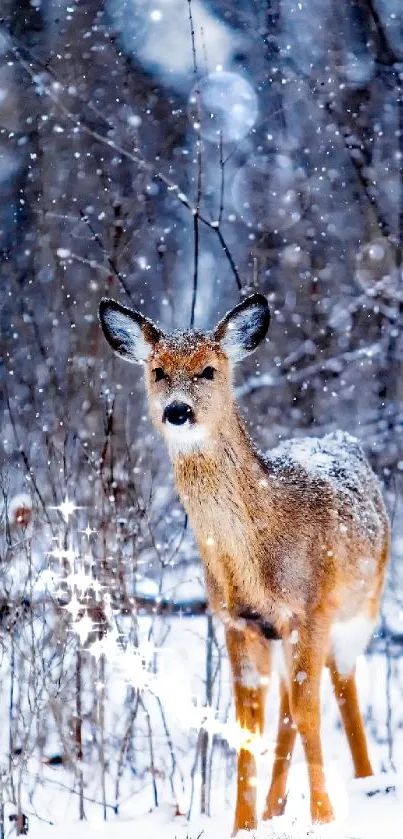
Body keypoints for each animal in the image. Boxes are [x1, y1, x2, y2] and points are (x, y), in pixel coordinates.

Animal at [98, 294, 392, 832]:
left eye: (209, 370)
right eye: (157, 371)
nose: (177, 410)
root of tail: (342, 438)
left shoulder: (310, 610)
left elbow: (311, 713)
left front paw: (323, 820)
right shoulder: (238, 622)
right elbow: (247, 724)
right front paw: (243, 826)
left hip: (361, 608)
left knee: (341, 688)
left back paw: (366, 782)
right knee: (286, 708)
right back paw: (276, 807)